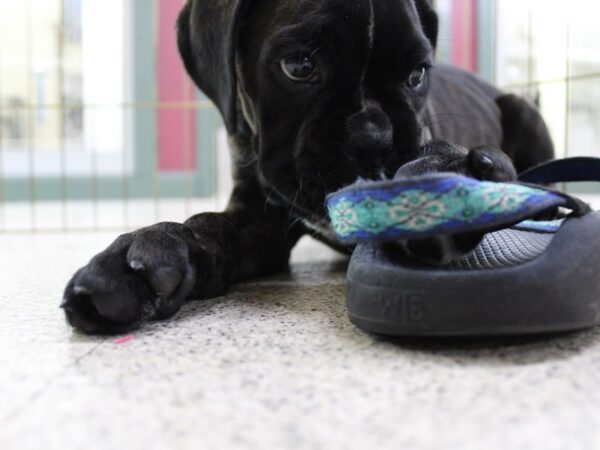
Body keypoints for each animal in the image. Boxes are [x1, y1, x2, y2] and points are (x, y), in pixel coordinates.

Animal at [62, 0, 552, 334]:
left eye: (417, 76)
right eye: (299, 66)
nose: (375, 138)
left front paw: (446, 179)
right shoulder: (258, 217)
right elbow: (207, 227)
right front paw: (145, 257)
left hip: (524, 111)